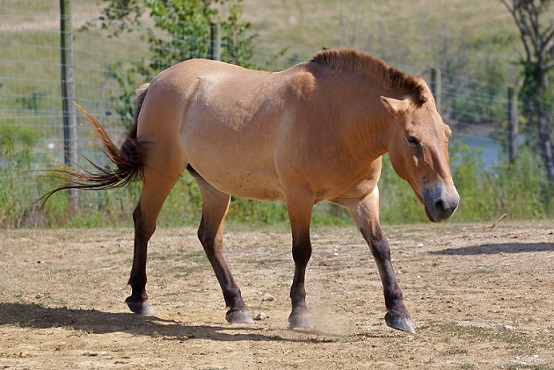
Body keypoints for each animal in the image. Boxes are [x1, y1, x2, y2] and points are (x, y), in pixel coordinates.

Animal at [43, 47, 458, 334]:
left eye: (447, 135)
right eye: (412, 139)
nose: (446, 203)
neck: (334, 119)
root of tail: (157, 83)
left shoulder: (363, 200)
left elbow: (381, 249)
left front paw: (398, 313)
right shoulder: (298, 198)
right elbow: (302, 252)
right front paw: (300, 314)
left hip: (213, 186)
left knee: (209, 238)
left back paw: (237, 306)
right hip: (162, 172)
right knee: (144, 223)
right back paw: (140, 299)